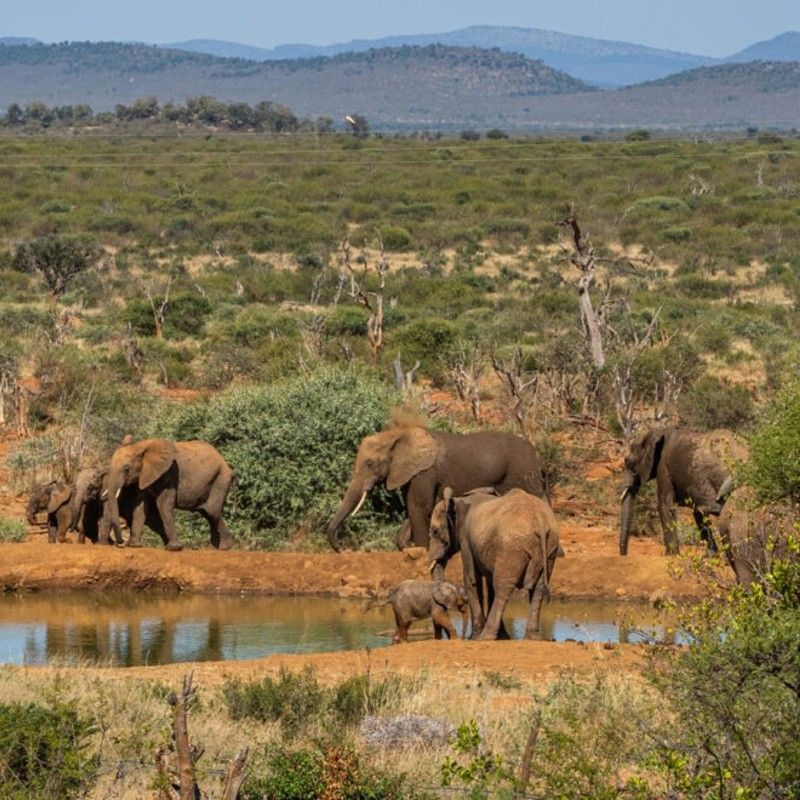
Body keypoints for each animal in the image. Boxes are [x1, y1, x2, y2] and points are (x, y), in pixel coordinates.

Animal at [105, 438, 234, 551]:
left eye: (126, 468)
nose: (120, 543)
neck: (140, 446)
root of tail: (222, 459)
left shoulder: (169, 472)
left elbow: (163, 505)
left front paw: (173, 548)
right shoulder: (144, 476)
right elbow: (140, 506)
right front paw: (134, 545)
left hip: (221, 479)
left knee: (212, 511)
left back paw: (224, 547)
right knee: (207, 512)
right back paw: (217, 547)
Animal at [326, 423, 547, 551]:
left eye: (370, 464)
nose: (342, 549)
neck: (397, 435)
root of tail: (537, 454)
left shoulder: (425, 472)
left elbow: (418, 508)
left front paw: (422, 552)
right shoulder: (411, 472)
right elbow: (413, 509)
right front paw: (404, 546)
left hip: (523, 473)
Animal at [428, 487, 560, 641]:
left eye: (435, 531)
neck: (458, 500)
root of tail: (540, 521)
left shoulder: (466, 539)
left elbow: (472, 580)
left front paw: (474, 637)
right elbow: (488, 583)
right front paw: (501, 636)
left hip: (512, 549)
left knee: (503, 588)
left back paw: (485, 636)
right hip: (550, 546)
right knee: (538, 589)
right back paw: (532, 637)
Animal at [620, 427, 746, 556]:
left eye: (629, 464)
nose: (624, 554)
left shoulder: (663, 468)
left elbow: (664, 505)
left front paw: (671, 555)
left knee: (705, 509)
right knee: (700, 513)